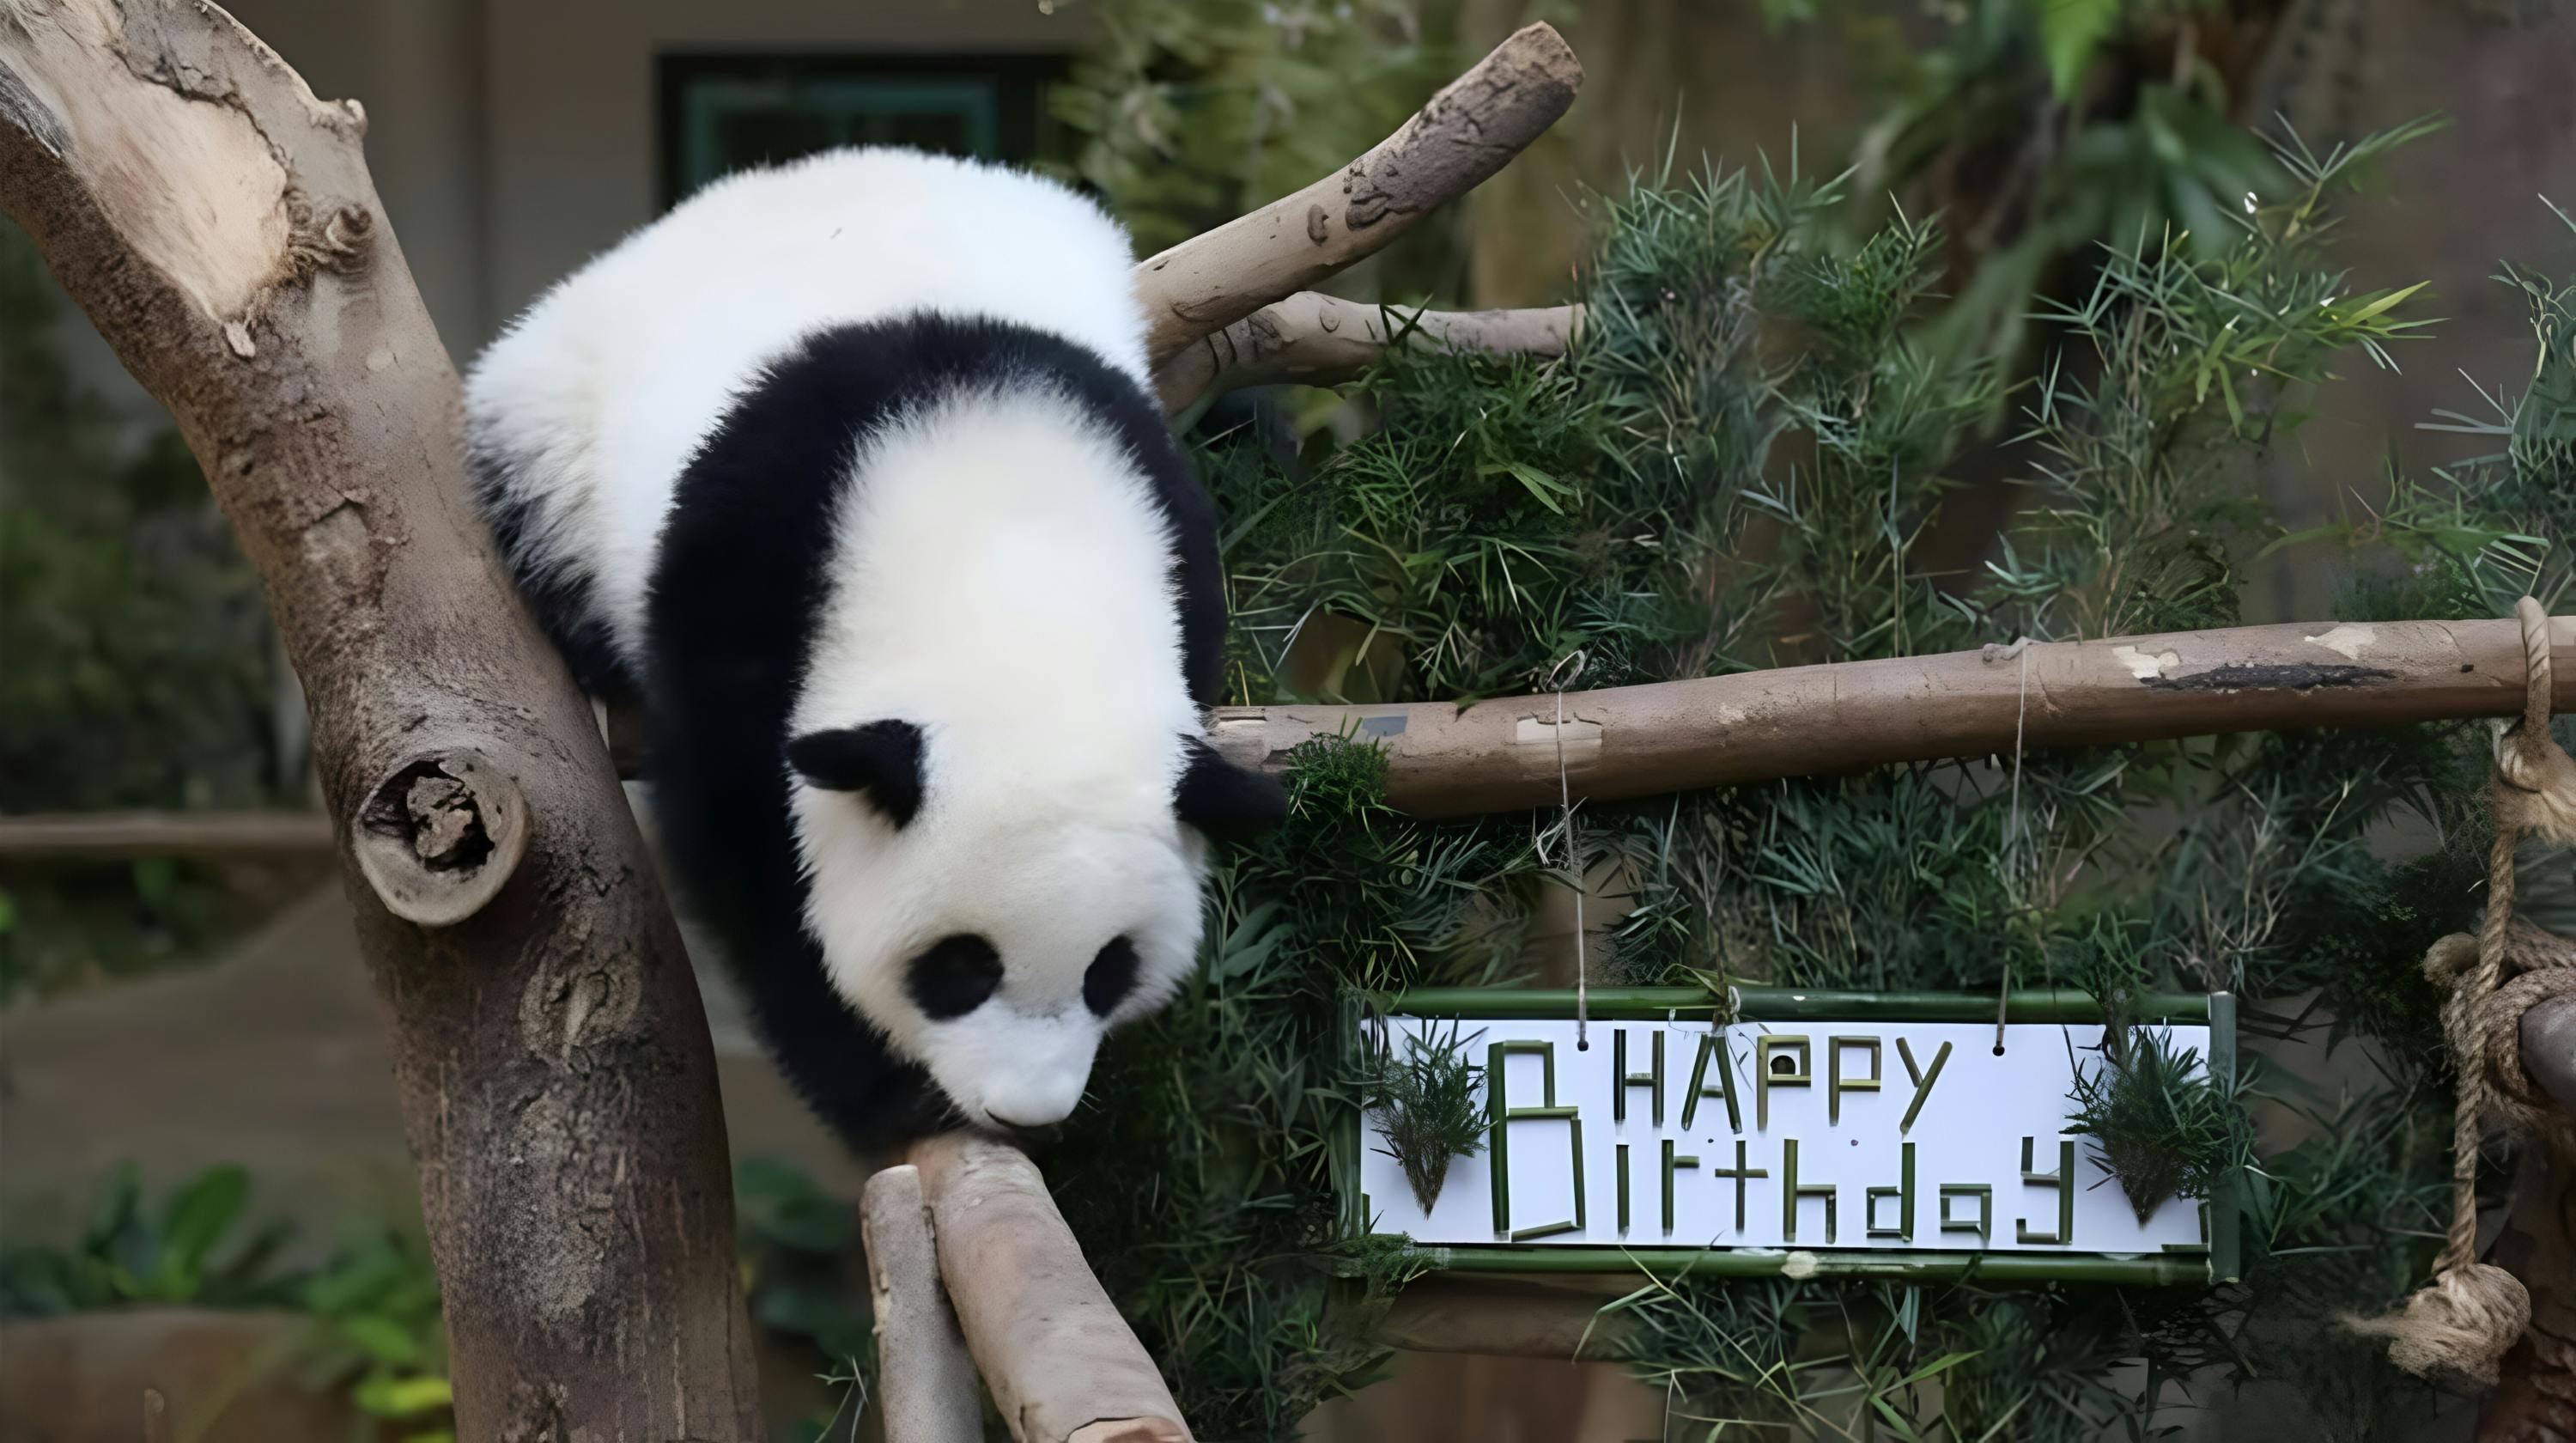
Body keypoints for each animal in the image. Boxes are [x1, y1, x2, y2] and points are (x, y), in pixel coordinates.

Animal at [463, 147, 1287, 1149]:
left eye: (1109, 972)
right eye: (961, 966)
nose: (1025, 1111)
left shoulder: (1173, 537)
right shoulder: (752, 565)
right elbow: (745, 849)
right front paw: (881, 1093)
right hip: (555, 433)